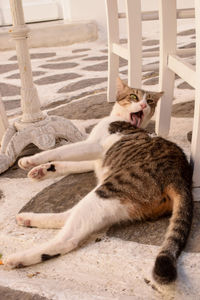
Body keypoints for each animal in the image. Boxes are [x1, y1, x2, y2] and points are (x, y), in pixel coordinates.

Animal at [3, 77, 193, 284]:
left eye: (150, 101)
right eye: (134, 97)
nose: (143, 104)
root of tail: (181, 176)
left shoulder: (93, 145)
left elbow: (59, 151)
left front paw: (31, 160)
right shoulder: (95, 159)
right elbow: (67, 163)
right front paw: (42, 171)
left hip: (110, 190)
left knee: (68, 239)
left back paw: (17, 258)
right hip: (116, 203)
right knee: (69, 216)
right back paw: (28, 218)